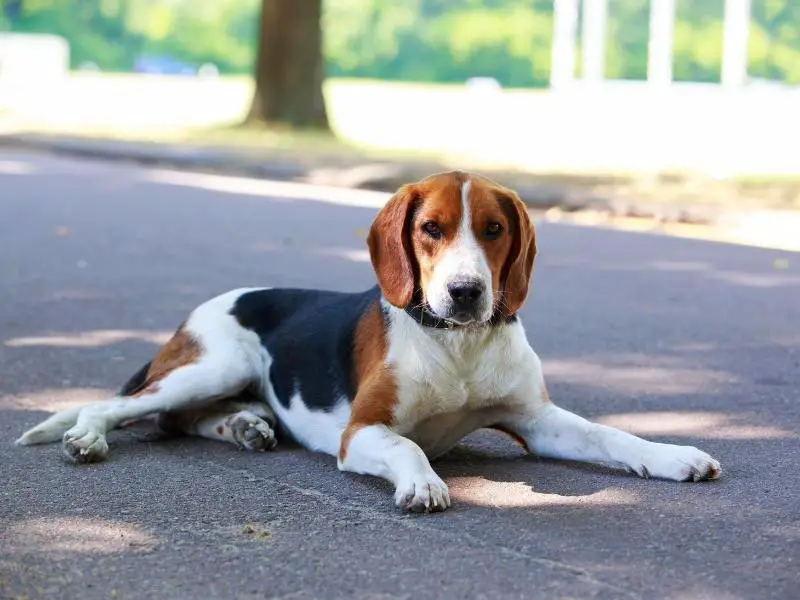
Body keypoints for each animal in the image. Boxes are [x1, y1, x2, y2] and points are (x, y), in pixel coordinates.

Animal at [14, 171, 724, 512]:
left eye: (494, 230)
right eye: (432, 228)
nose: (466, 292)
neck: (458, 346)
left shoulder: (537, 420)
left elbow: (613, 436)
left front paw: (672, 455)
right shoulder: (363, 431)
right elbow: (409, 445)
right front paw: (424, 484)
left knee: (181, 420)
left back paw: (245, 427)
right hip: (210, 365)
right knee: (122, 406)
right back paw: (88, 438)